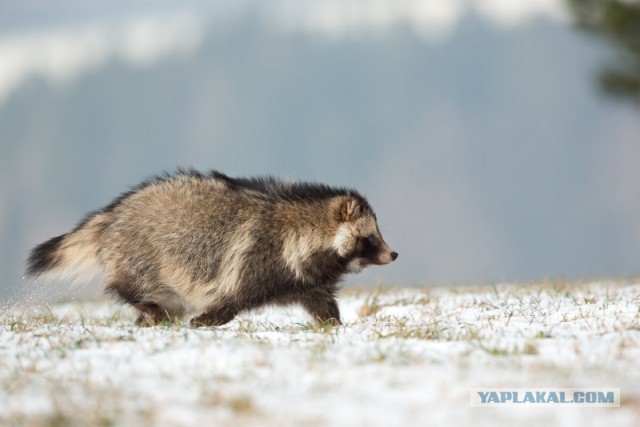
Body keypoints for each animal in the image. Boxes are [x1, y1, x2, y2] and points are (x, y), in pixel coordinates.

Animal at [26, 169, 397, 327]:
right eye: (371, 237)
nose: (393, 253)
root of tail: (114, 214)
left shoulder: (304, 278)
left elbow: (321, 301)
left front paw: (333, 324)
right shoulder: (257, 254)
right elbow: (233, 296)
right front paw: (209, 318)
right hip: (139, 253)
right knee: (134, 285)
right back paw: (150, 308)